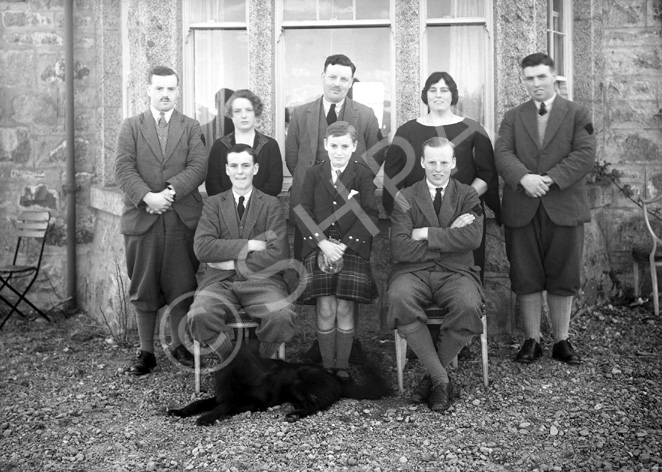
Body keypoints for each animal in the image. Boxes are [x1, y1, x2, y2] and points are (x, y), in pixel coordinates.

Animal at [169, 342, 392, 426]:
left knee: (316, 406)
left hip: (297, 385)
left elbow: (224, 406)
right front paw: (180, 411)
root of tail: (336, 378)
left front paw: (206, 417)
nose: (272, 371)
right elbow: (199, 402)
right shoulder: (220, 396)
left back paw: (294, 415)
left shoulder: (252, 403)